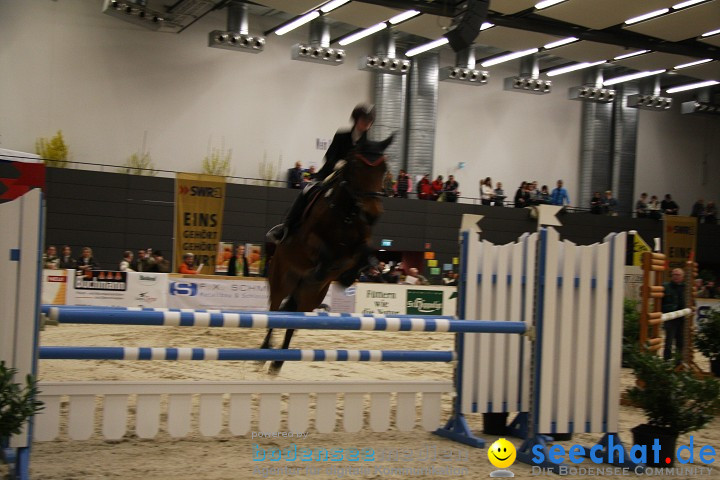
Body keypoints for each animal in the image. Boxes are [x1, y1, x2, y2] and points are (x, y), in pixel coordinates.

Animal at [262, 137, 390, 374]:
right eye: (357, 166)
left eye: (384, 169)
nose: (373, 213)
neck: (346, 213)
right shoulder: (309, 240)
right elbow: (323, 251)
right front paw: (324, 270)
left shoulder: (359, 243)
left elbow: (362, 252)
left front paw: (351, 274)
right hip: (281, 281)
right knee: (274, 311)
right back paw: (265, 352)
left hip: (310, 297)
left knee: (294, 319)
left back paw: (277, 362)